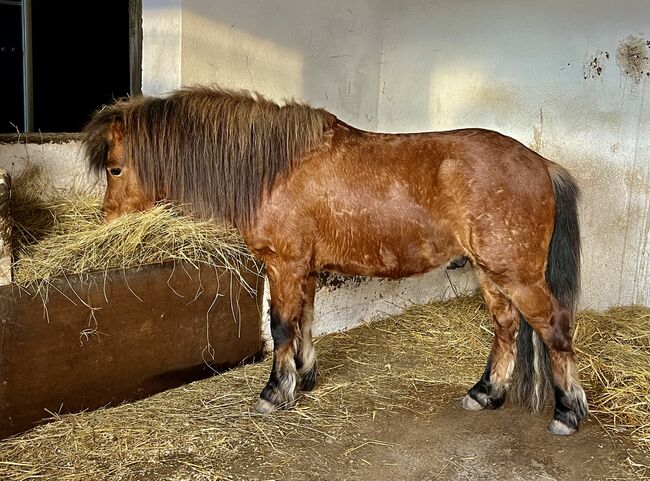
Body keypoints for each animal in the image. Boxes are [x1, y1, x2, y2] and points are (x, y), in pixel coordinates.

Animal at [82, 86, 588, 436]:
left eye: (114, 168)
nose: (107, 223)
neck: (273, 170)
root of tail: (542, 164)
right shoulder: (303, 269)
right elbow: (304, 320)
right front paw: (303, 377)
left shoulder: (284, 265)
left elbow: (281, 326)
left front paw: (274, 392)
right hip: (490, 273)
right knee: (506, 328)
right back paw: (485, 394)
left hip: (517, 275)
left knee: (554, 329)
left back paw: (566, 413)